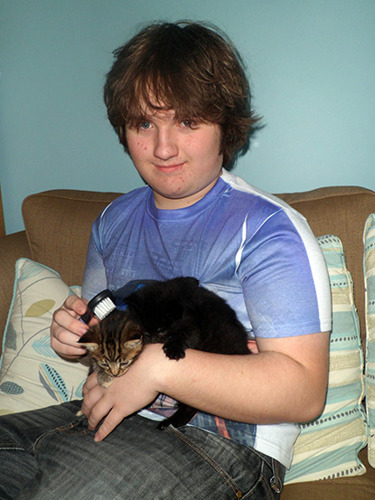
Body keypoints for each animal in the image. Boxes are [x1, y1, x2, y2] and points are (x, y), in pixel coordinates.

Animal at [79, 276, 250, 428]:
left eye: (162, 330)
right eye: (145, 330)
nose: (153, 338)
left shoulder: (191, 324)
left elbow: (186, 334)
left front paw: (173, 350)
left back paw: (169, 423)